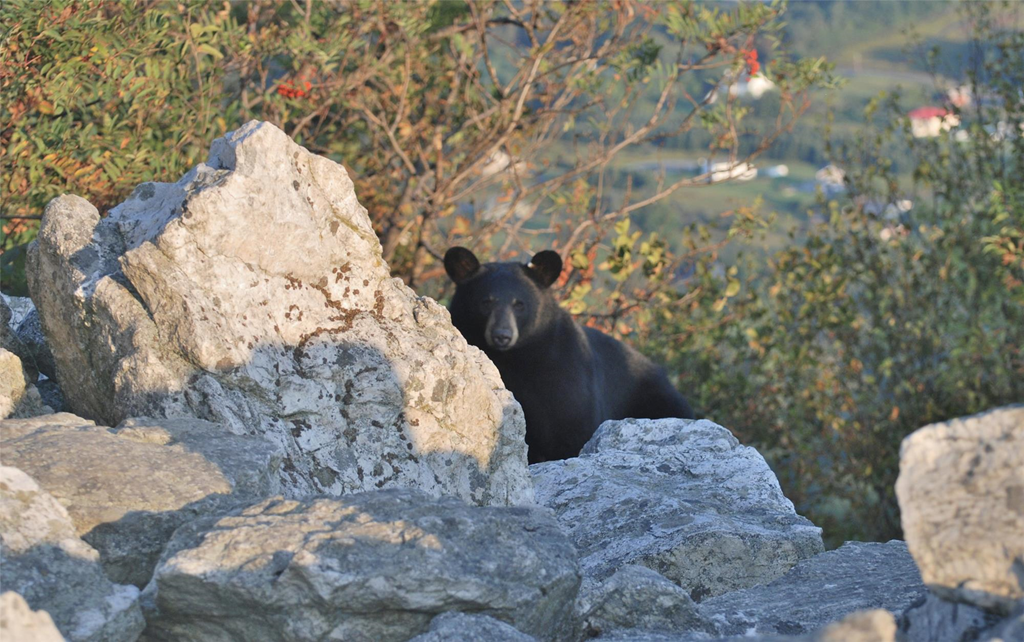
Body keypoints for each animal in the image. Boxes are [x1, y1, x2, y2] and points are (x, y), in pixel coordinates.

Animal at [446, 245, 696, 462]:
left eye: (519, 304)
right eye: (486, 302)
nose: (502, 335)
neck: (515, 358)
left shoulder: (567, 372)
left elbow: (572, 428)